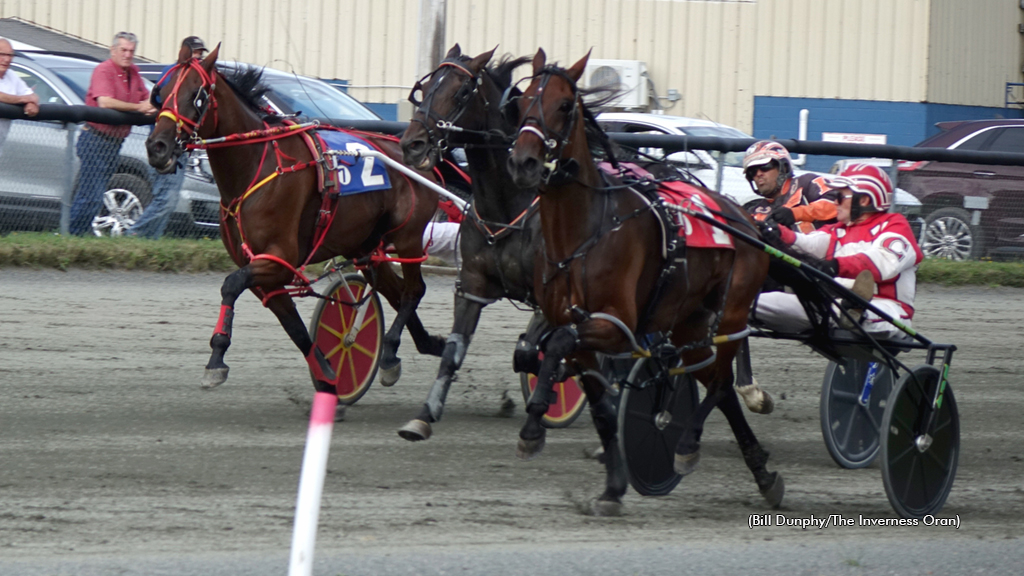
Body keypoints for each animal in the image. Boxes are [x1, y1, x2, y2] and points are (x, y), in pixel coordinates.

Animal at [145, 43, 444, 393]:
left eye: (197, 95)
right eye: (160, 92)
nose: (157, 147)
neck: (254, 167)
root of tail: (418, 156)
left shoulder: (278, 259)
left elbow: (231, 285)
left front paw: (216, 358)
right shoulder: (265, 271)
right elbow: (294, 327)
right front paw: (328, 372)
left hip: (408, 237)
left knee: (413, 291)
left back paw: (391, 350)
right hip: (364, 246)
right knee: (393, 290)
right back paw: (418, 347)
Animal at [393, 44, 540, 438]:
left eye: (461, 92)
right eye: (425, 88)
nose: (412, 145)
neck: (508, 204)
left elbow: (532, 348)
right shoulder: (472, 285)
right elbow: (453, 352)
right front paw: (423, 416)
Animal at [505, 49, 782, 512]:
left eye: (563, 105)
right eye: (522, 100)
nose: (523, 162)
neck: (583, 234)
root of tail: (745, 219)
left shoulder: (617, 326)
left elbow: (558, 343)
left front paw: (533, 425)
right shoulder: (577, 327)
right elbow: (598, 404)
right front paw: (613, 487)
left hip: (731, 312)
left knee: (721, 381)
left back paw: (688, 444)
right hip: (688, 321)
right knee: (720, 386)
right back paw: (764, 474)